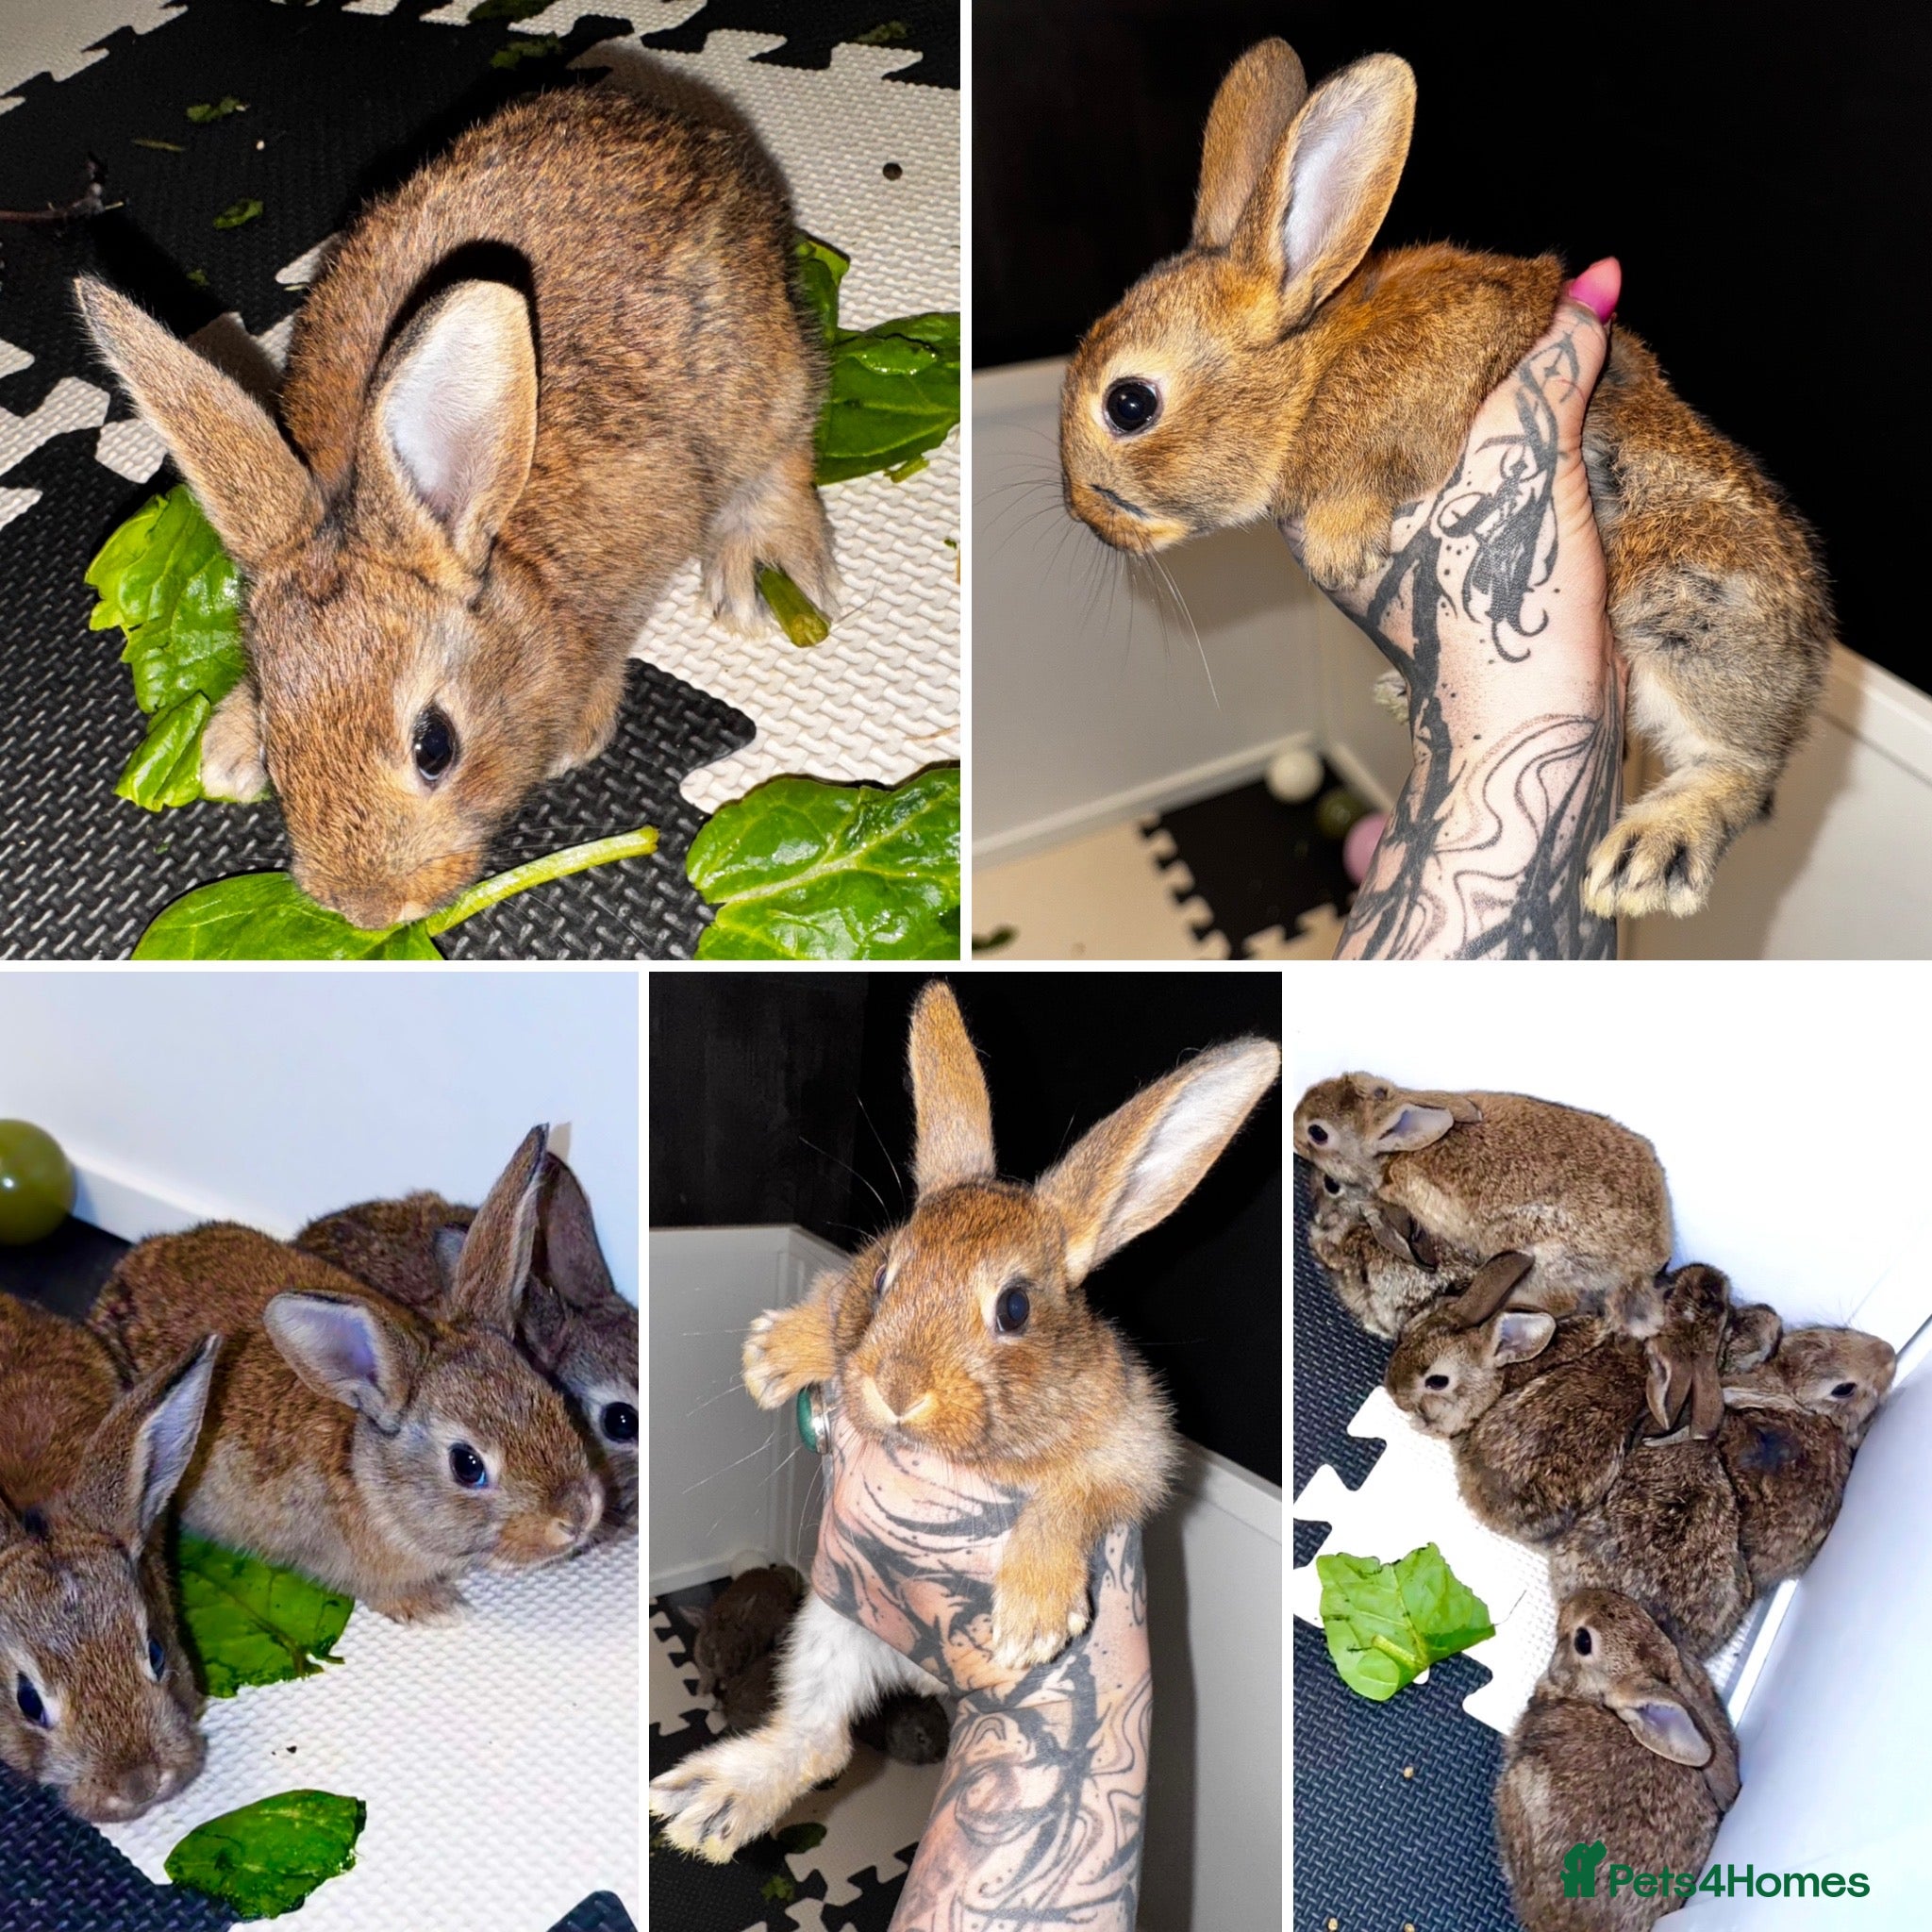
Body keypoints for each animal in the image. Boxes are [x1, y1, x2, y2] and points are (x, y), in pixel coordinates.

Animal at [75, 82, 836, 931]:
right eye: (280, 748)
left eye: (434, 747)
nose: (370, 910)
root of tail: (701, 134)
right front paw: (228, 748)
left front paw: (577, 728)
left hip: (762, 375)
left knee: (788, 437)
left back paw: (765, 565)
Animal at [91, 1126, 602, 1622]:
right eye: (468, 1465)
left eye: (555, 1399)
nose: (577, 1516)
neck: (367, 1474)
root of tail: (124, 1272)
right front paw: (436, 1608)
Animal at [650, 980, 1280, 1862]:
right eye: (885, 1274)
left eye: (1014, 1308)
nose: (896, 1388)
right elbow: (830, 1310)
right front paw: (774, 1357)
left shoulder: (1136, 1448)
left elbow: (1075, 1495)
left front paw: (1033, 1616)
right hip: (827, 1626)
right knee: (820, 1742)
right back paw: (714, 1802)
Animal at [1062, 38, 1832, 920]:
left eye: (1129, 403)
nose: (1085, 515)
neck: (1307, 366)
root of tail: (1813, 658)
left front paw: (1339, 543)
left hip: (1689, 608)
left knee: (1742, 767)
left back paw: (1651, 853)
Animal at [1295, 1074, 1673, 1330]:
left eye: (1318, 1133)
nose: (1294, 1131)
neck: (1396, 1154)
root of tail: (1647, 1262)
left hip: (1542, 1260)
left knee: (1560, 1302)